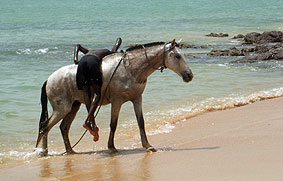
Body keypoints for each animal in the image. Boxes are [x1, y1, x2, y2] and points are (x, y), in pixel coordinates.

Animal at [35, 39, 193, 156]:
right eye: (177, 56)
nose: (189, 75)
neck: (130, 69)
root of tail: (49, 80)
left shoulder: (137, 99)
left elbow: (141, 122)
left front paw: (148, 145)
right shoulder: (117, 101)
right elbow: (113, 124)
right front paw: (111, 147)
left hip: (73, 106)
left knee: (63, 127)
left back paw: (70, 151)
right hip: (62, 109)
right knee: (45, 126)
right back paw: (44, 152)